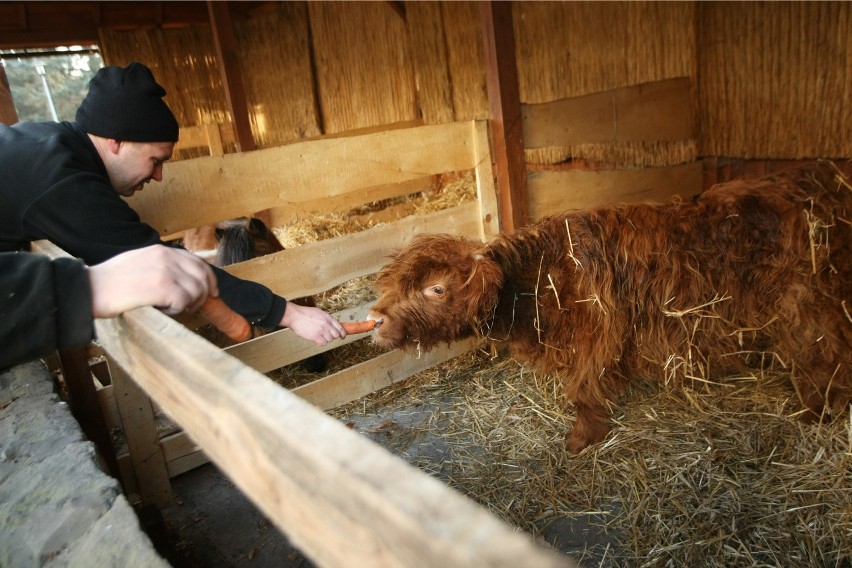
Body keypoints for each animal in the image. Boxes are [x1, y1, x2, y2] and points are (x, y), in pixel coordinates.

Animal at [372, 163, 852, 452]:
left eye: (436, 289)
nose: (376, 320)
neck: (538, 281)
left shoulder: (595, 339)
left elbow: (583, 392)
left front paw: (581, 440)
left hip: (804, 307)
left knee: (825, 357)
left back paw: (816, 413)